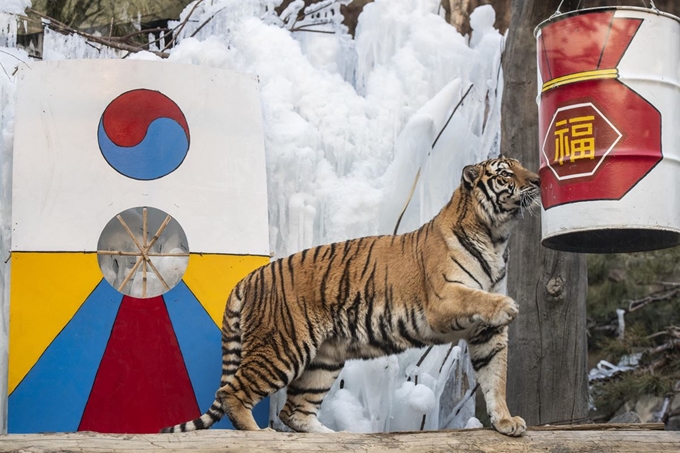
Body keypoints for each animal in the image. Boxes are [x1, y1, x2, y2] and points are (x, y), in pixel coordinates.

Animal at [162, 155, 540, 434]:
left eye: (521, 167)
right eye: (506, 173)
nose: (537, 180)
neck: (495, 237)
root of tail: (249, 277)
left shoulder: (487, 333)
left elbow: (495, 378)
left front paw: (506, 421)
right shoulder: (443, 299)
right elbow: (477, 299)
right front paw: (509, 306)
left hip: (323, 360)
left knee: (294, 411)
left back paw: (334, 435)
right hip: (281, 347)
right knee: (232, 392)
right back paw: (259, 433)